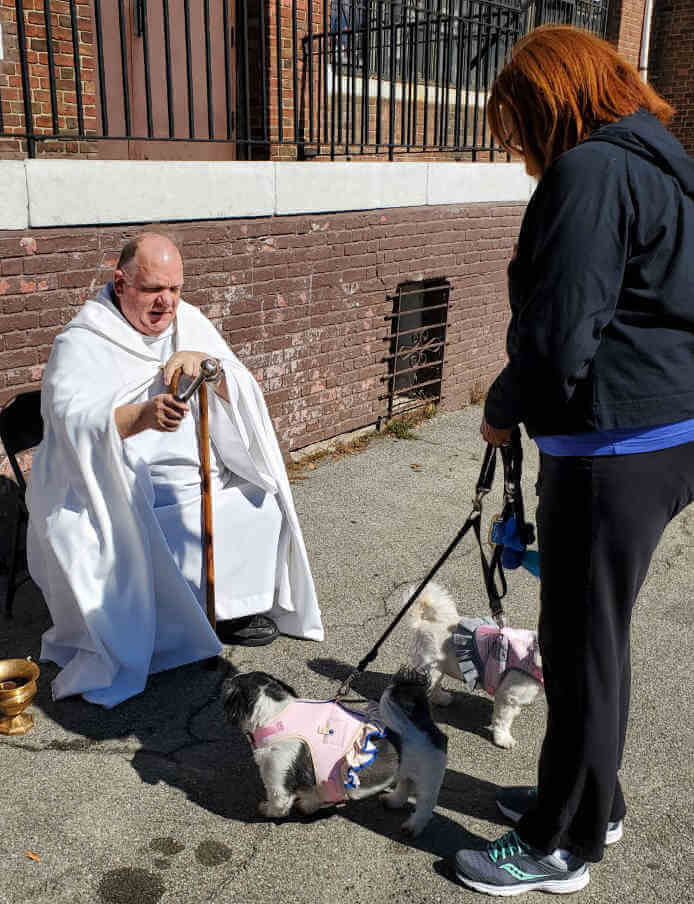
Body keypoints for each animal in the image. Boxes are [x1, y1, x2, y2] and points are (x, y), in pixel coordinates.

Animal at [226, 668, 448, 836]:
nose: (227, 678)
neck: (278, 719)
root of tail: (421, 720)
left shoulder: (277, 778)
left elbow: (278, 804)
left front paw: (266, 809)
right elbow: (313, 796)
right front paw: (307, 806)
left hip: (429, 778)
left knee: (425, 805)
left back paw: (413, 826)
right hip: (407, 770)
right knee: (404, 785)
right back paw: (393, 801)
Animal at [408, 580, 544, 748]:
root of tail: (425, 623)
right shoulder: (508, 696)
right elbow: (503, 720)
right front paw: (503, 739)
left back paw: (441, 699)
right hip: (434, 667)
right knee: (431, 685)